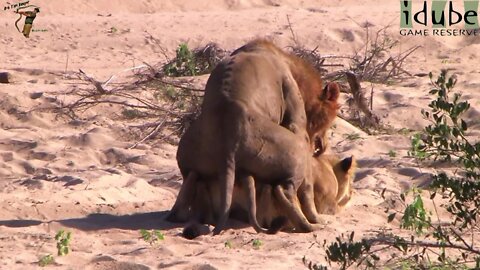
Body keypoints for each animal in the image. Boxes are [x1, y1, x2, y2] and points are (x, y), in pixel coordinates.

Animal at [167, 39, 340, 235]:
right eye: (328, 119)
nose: (323, 146)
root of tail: (228, 137)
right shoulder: (297, 120)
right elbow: (308, 185)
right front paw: (315, 216)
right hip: (293, 148)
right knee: (285, 189)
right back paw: (309, 225)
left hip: (188, 158)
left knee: (188, 191)